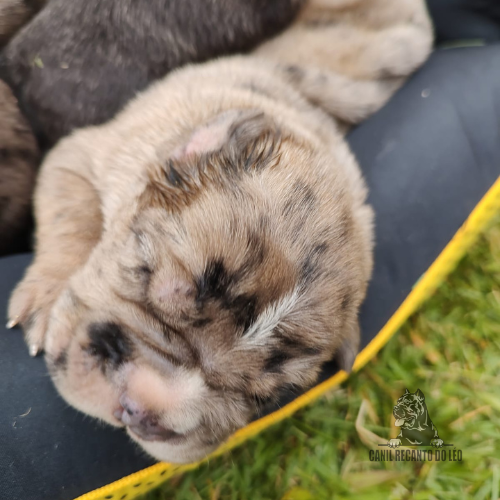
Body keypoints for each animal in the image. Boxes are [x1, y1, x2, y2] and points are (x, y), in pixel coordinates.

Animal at [8, 0, 434, 462]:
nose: (143, 410)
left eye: (260, 398)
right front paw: (45, 298)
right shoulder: (78, 155)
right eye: (158, 283)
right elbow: (71, 217)